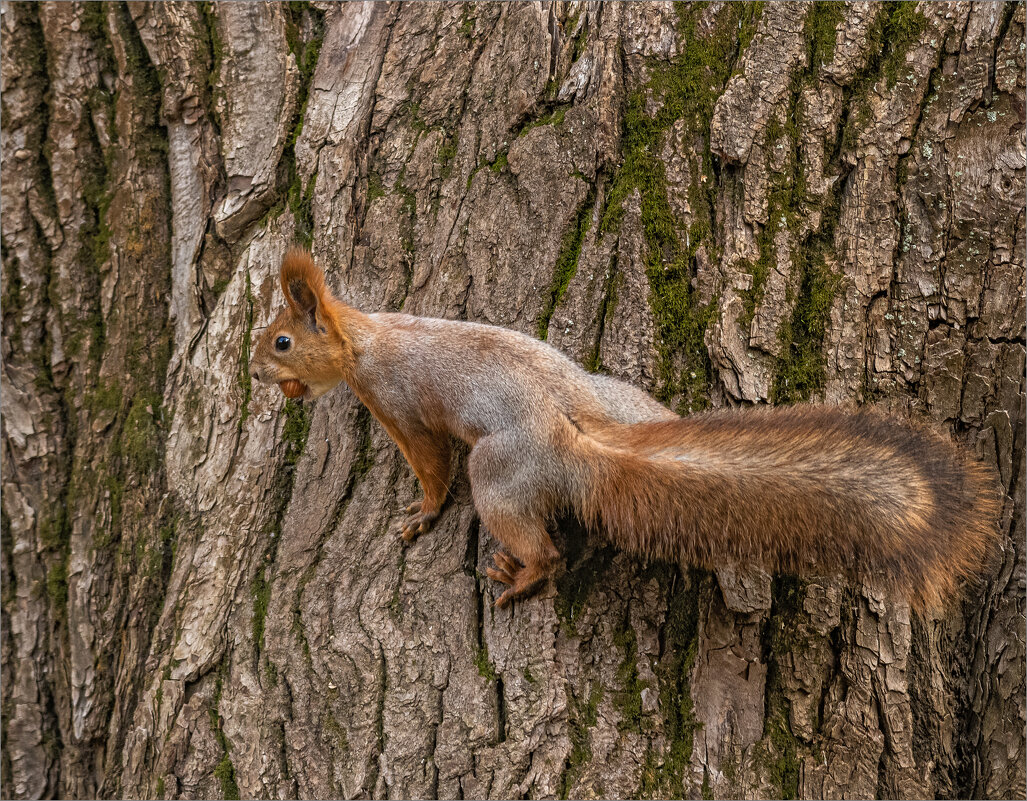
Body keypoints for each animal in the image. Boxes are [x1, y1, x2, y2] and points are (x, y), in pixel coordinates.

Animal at [250, 248, 1002, 607]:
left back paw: (522, 575)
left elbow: (432, 469)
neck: (366, 339)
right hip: (622, 400)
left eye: (281, 341)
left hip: (500, 472)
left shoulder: (402, 408)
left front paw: (420, 514)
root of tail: (574, 437)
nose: (255, 372)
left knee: (543, 548)